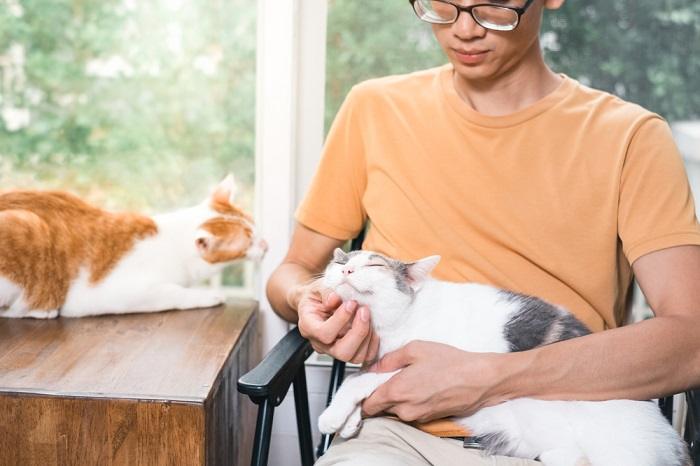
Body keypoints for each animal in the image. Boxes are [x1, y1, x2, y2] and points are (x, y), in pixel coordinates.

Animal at [0, 173, 266, 318]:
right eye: (250, 239)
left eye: (256, 227)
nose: (266, 244)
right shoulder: (110, 293)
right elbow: (172, 293)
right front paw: (209, 295)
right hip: (26, 225)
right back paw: (39, 309)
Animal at [318, 249, 688, 466]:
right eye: (340, 262)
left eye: (374, 264)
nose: (346, 271)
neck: (396, 322)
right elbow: (360, 375)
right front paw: (350, 421)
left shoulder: (422, 364)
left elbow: (360, 379)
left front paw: (333, 415)